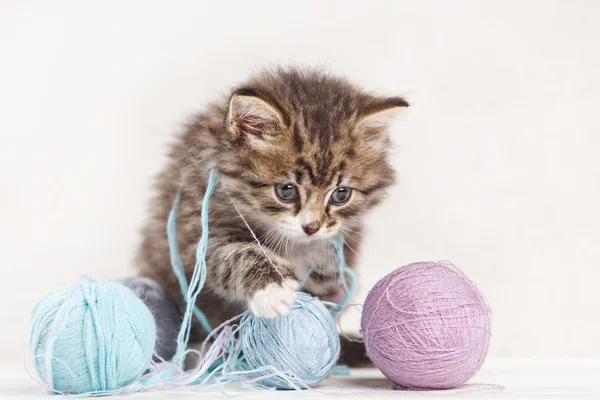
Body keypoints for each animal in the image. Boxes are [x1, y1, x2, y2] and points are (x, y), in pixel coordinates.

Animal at [135, 66, 408, 366]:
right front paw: (274, 288)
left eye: (341, 195)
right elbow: (237, 253)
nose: (312, 227)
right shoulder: (195, 231)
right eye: (286, 191)